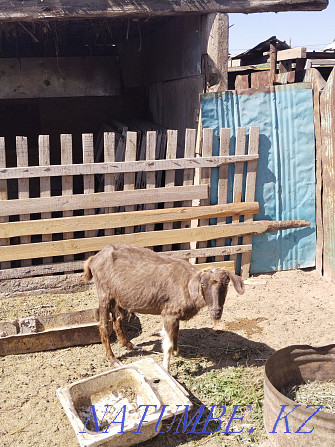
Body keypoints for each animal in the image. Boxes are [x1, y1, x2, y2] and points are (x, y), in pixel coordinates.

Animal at [84, 245, 244, 372]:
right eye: (203, 284)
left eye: (226, 283)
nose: (216, 312)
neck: (186, 286)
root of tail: (94, 258)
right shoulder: (169, 314)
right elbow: (168, 343)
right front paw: (166, 368)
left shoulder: (175, 316)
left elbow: (176, 335)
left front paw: (177, 352)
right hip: (104, 293)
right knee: (103, 325)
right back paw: (113, 360)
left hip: (117, 296)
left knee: (117, 319)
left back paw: (130, 345)